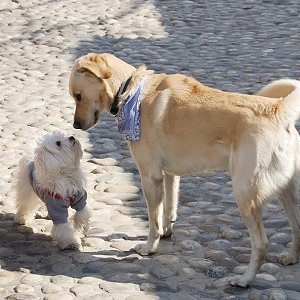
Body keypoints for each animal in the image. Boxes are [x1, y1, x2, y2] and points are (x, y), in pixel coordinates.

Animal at [69, 52, 300, 288]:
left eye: (78, 96)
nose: (75, 126)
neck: (130, 90)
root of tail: (276, 110)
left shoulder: (150, 177)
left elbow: (153, 220)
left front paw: (149, 248)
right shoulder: (170, 175)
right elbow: (168, 210)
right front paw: (166, 233)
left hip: (245, 194)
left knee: (261, 243)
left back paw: (245, 279)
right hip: (285, 192)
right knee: (297, 229)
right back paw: (290, 258)